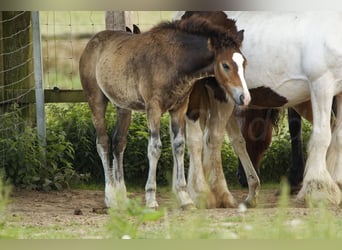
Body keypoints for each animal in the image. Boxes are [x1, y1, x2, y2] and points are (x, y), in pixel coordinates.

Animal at [80, 13, 251, 209]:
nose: (245, 97)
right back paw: (110, 197)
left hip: (123, 107)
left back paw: (122, 197)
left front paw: (185, 198)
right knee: (103, 142)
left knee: (119, 142)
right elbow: (155, 148)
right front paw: (151, 199)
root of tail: (91, 43)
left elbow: (179, 145)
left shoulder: (179, 107)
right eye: (225, 65)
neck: (175, 60)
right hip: (96, 101)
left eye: (244, 63)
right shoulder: (153, 108)